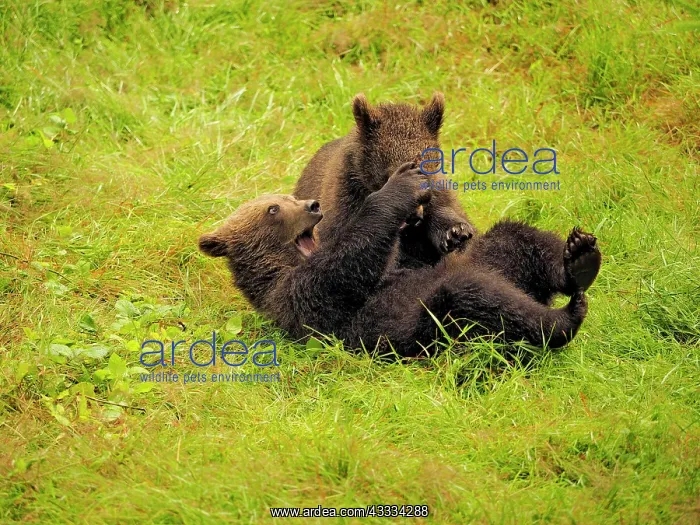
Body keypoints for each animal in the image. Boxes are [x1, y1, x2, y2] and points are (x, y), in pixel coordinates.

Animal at [199, 162, 602, 355]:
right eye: (273, 209)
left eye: (289, 197)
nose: (313, 205)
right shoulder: (301, 303)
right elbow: (344, 269)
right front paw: (401, 184)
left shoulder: (402, 267)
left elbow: (404, 253)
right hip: (432, 322)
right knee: (478, 296)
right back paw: (564, 317)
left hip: (493, 255)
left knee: (518, 237)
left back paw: (579, 258)